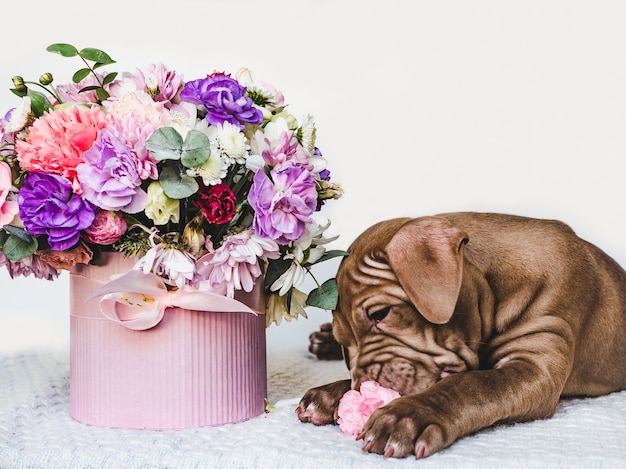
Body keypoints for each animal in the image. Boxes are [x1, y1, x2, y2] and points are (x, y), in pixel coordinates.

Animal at [294, 212, 624, 458]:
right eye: (345, 344)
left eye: (380, 314)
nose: (364, 389)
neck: (495, 286)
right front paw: (331, 393)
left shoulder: (535, 365)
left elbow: (472, 384)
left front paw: (407, 416)